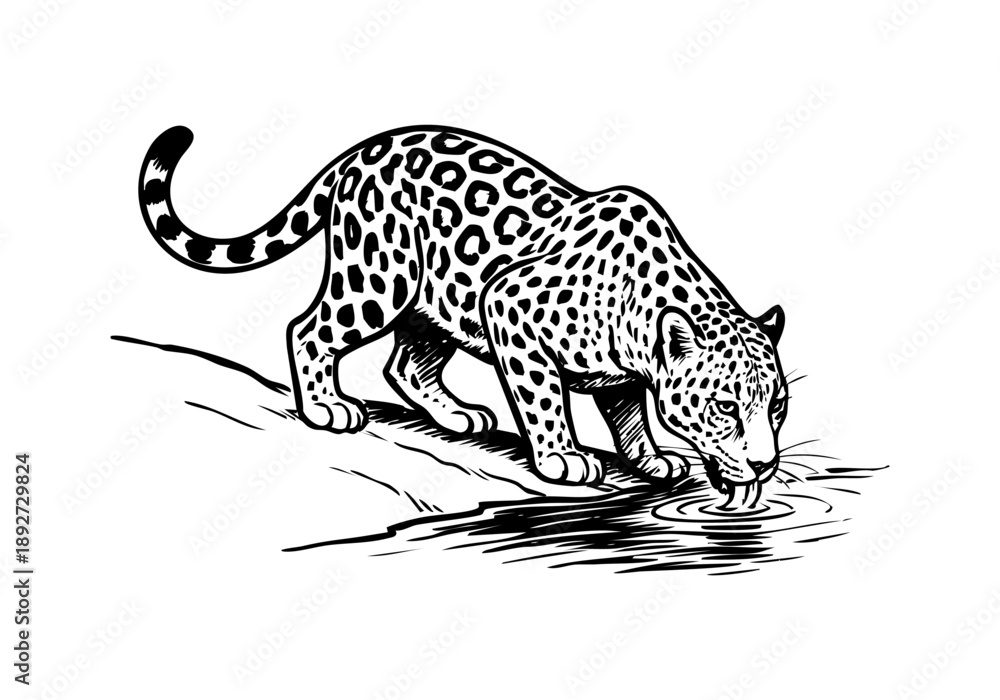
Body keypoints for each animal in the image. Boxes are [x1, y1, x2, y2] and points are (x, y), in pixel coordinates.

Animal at [138, 124, 789, 501]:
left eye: (778, 406)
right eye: (725, 407)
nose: (763, 465)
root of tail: (358, 153)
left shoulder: (622, 371)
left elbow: (628, 412)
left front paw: (653, 458)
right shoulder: (510, 309)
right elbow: (545, 399)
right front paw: (563, 458)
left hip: (432, 301)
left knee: (405, 362)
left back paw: (458, 415)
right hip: (377, 279)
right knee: (309, 329)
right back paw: (327, 407)